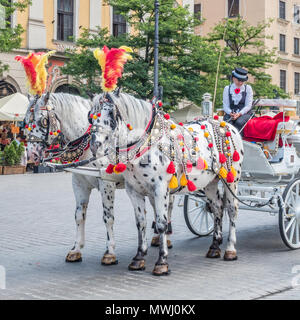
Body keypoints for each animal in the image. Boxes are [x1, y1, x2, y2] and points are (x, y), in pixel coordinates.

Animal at [89, 91, 244, 276]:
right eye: (90, 116)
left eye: (112, 115)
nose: (95, 145)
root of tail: (226, 124)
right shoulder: (133, 190)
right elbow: (141, 223)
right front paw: (139, 258)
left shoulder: (160, 189)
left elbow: (161, 224)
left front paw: (162, 262)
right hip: (210, 183)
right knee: (216, 208)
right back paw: (214, 247)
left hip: (231, 179)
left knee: (232, 209)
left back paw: (230, 249)